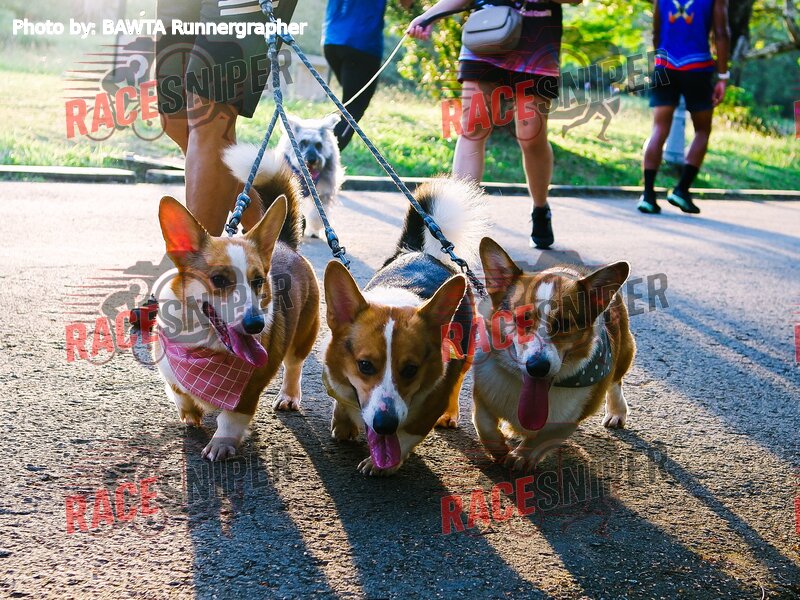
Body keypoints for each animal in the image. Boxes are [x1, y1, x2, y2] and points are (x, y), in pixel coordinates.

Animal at [153, 147, 319, 461]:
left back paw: (289, 396)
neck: (204, 343)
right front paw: (191, 414)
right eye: (219, 280)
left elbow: (231, 418)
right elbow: (180, 393)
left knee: (294, 366)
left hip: (304, 332)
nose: (256, 325)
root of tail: (285, 243)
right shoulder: (170, 367)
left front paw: (221, 444)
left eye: (258, 281)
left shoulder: (247, 392)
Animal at [322, 178, 489, 476]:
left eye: (411, 370)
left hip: (466, 350)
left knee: (458, 380)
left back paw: (449, 414)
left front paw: (385, 462)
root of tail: (419, 251)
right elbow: (341, 397)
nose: (384, 424)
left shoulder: (429, 402)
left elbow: (409, 433)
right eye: (365, 365)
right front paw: (342, 424)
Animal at [472, 238, 635, 471]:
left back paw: (616, 412)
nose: (537, 367)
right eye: (521, 319)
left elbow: (543, 438)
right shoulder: (483, 395)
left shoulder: (569, 419)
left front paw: (521, 456)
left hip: (623, 352)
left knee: (616, 382)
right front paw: (500, 450)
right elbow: (485, 426)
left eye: (564, 324)